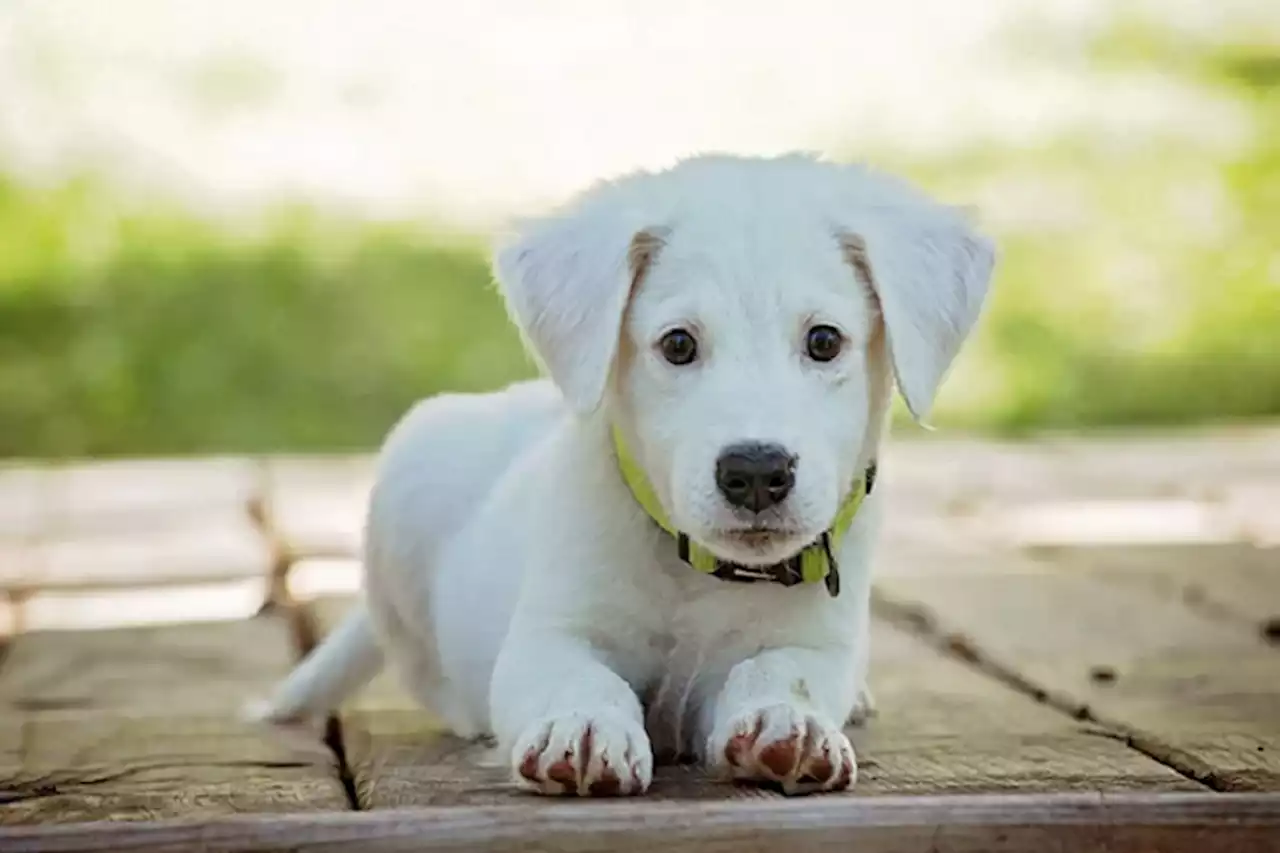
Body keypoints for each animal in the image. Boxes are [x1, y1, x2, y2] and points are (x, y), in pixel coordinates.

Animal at [254, 149, 993, 794]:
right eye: (679, 344)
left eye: (824, 341)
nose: (756, 471)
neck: (697, 572)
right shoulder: (550, 634)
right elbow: (581, 677)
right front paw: (582, 728)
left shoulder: (815, 641)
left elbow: (780, 670)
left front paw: (790, 723)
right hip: (408, 483)